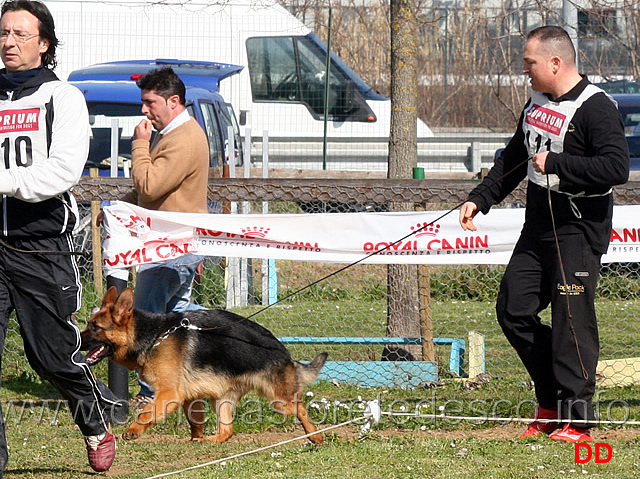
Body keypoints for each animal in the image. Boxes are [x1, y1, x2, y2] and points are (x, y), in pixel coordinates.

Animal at [80, 284, 328, 446]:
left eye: (95, 327)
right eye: (89, 324)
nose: (76, 340)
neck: (154, 337)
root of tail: (285, 353)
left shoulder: (169, 394)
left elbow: (146, 412)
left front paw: (133, 430)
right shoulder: (190, 396)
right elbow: (195, 421)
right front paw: (195, 439)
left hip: (279, 400)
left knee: (301, 408)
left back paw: (315, 436)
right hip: (222, 399)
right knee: (228, 431)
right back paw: (210, 441)